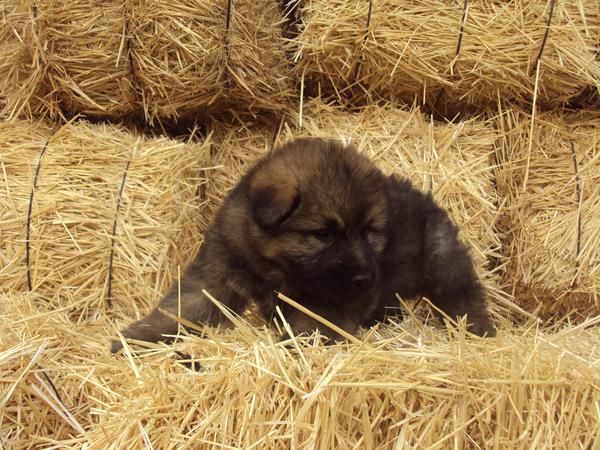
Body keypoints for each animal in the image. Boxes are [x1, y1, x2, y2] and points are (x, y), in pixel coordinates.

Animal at [110, 137, 494, 352]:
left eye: (370, 232)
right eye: (324, 233)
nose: (364, 278)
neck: (274, 265)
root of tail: (425, 197)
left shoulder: (332, 301)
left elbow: (312, 327)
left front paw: (291, 349)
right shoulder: (217, 273)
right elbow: (180, 308)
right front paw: (137, 336)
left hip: (444, 266)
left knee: (464, 298)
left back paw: (479, 333)